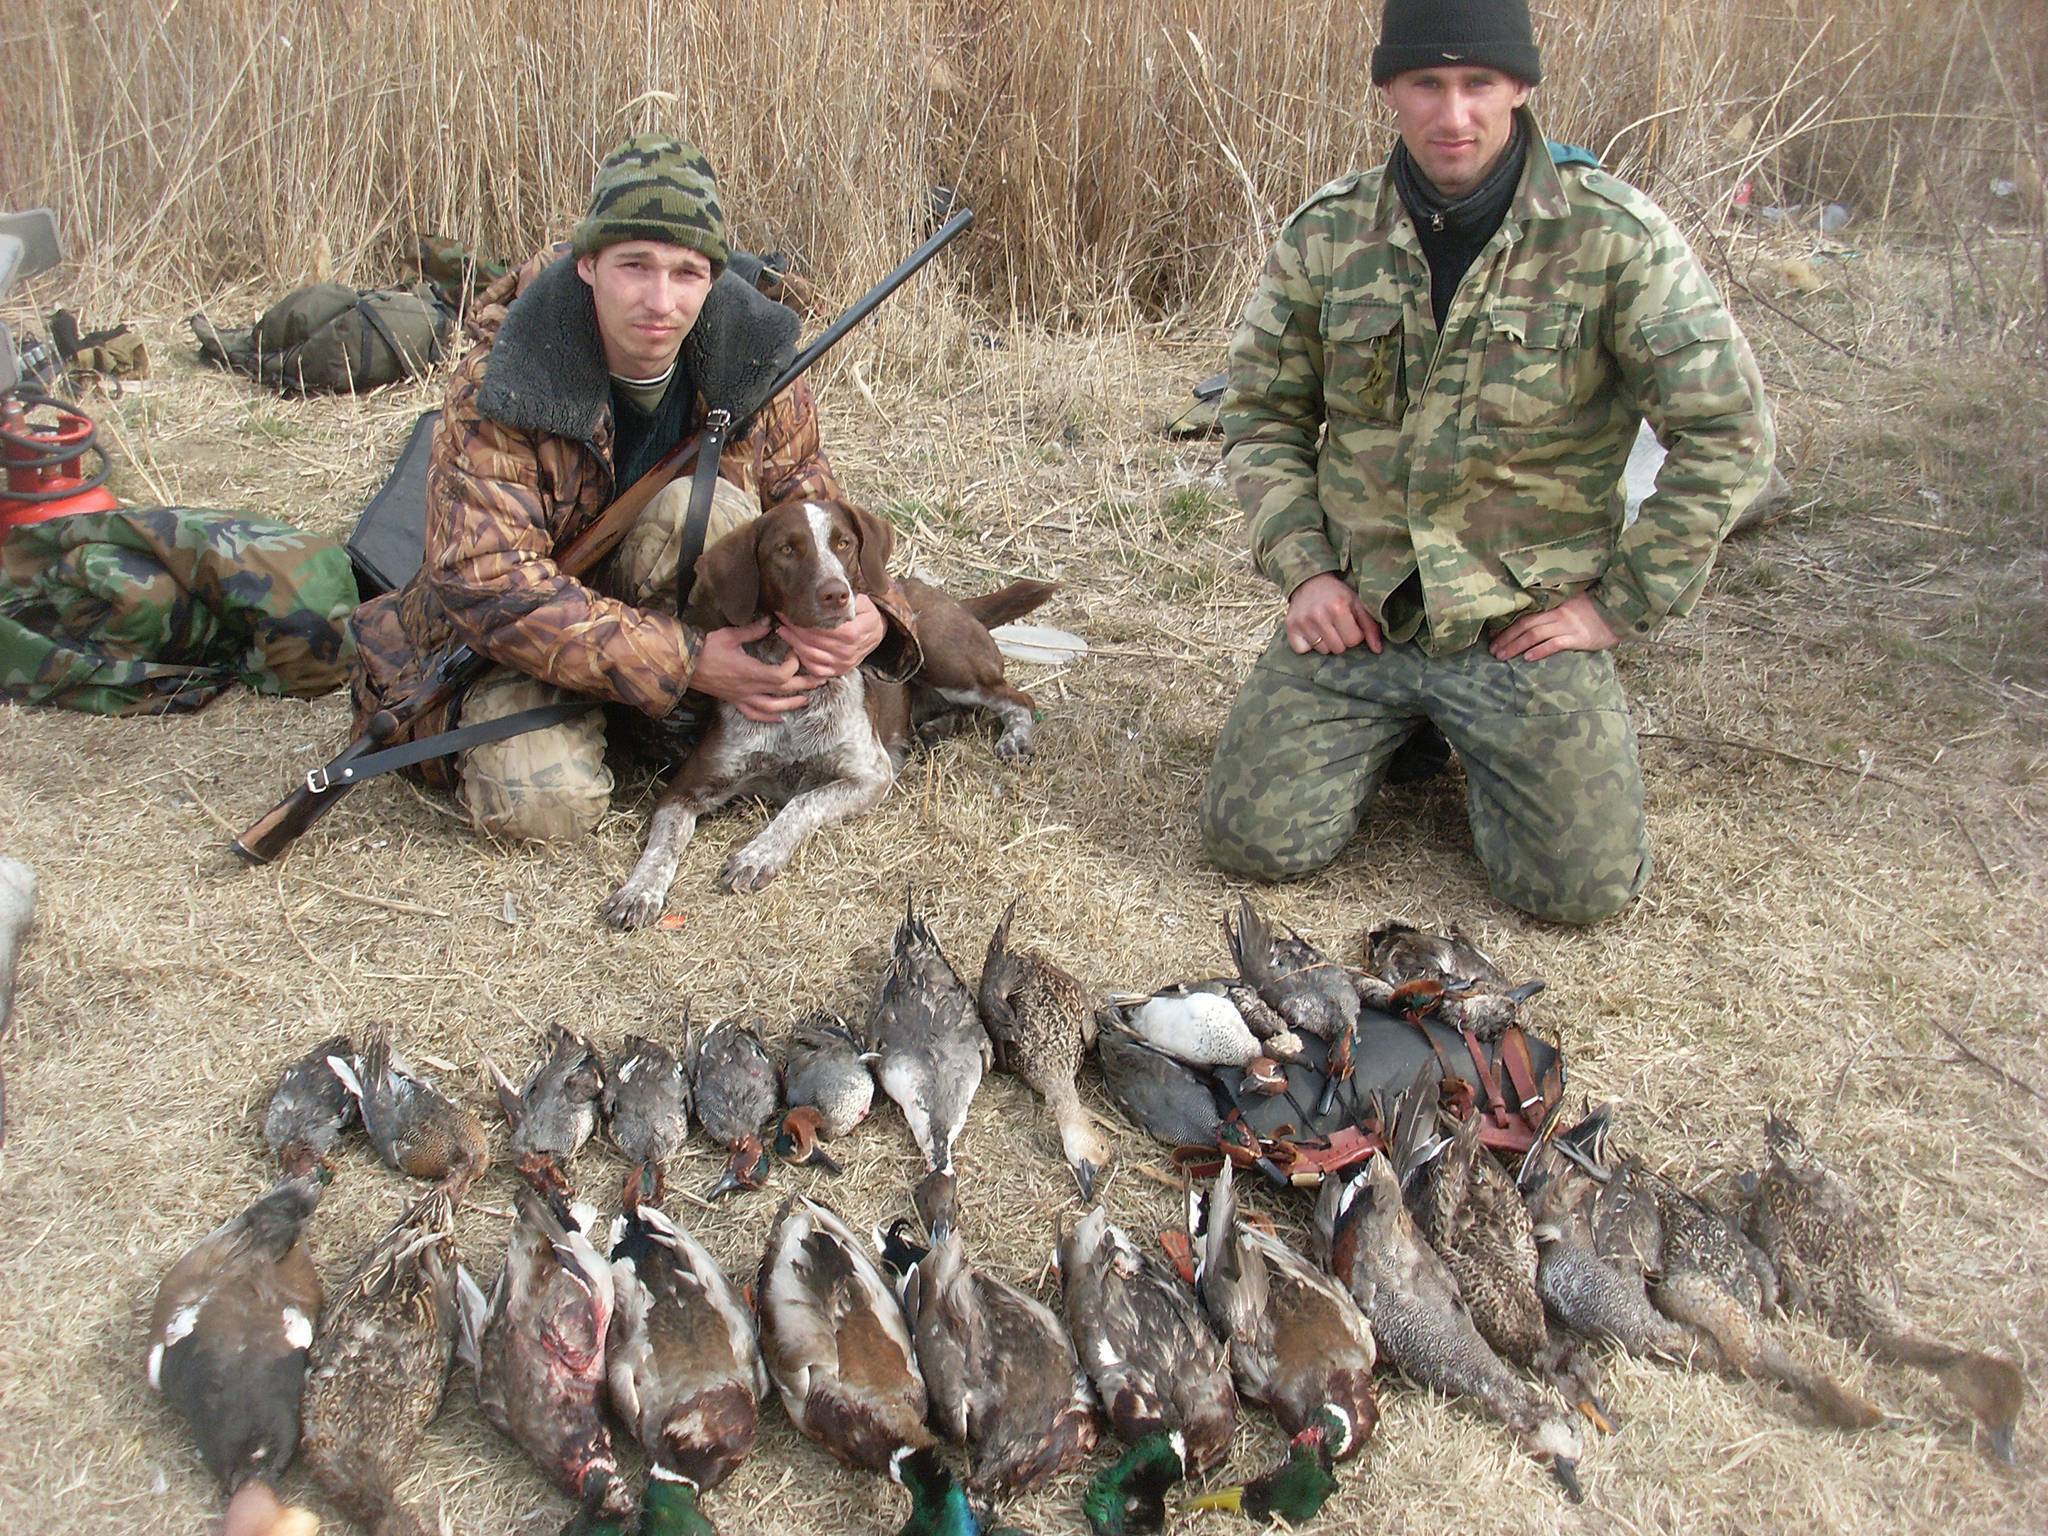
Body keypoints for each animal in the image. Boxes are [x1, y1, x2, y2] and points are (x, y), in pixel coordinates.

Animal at [602, 501, 1056, 925]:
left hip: (939, 654)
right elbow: (664, 844)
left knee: (1017, 700)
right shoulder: (686, 787)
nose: (837, 593)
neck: (801, 685)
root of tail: (950, 599)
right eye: (786, 550)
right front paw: (639, 891)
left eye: (844, 543)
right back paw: (935, 728)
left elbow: (802, 804)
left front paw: (758, 854)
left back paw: (1013, 738)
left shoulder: (871, 774)